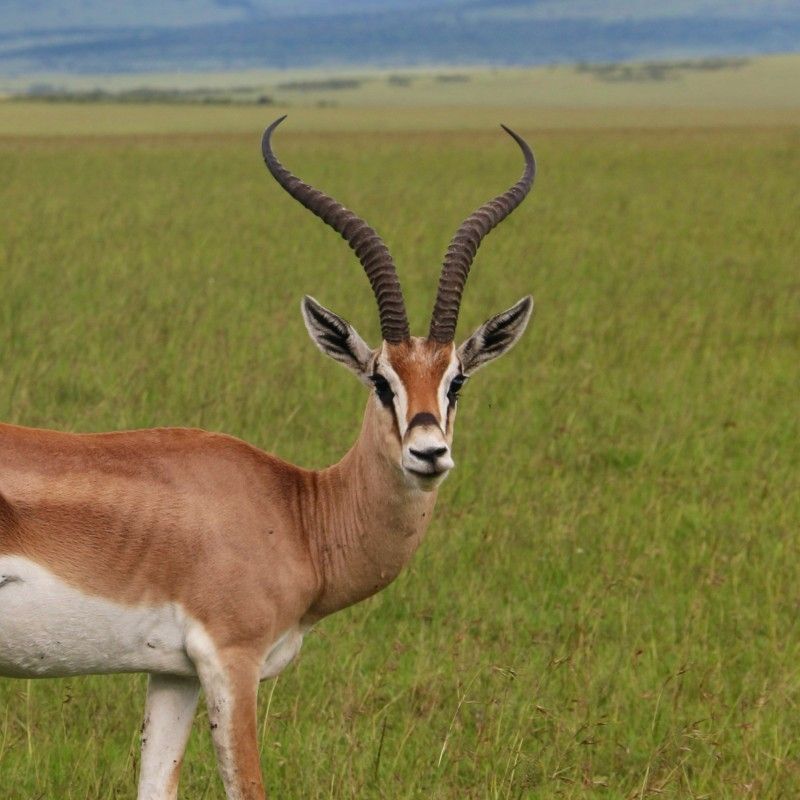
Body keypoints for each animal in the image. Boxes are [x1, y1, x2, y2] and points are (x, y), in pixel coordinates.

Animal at [0, 116, 536, 800]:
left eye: (456, 381)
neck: (297, 512)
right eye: (380, 380)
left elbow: (155, 785)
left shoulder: (173, 672)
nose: (429, 452)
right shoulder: (231, 658)